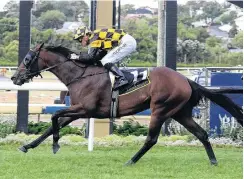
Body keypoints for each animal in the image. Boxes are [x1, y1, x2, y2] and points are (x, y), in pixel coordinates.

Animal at [10, 43, 242, 166]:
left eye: (28, 59)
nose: (14, 78)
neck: (80, 76)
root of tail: (186, 80)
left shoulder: (85, 109)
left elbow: (53, 117)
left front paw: (56, 145)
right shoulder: (77, 111)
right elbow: (52, 125)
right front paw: (27, 146)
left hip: (160, 109)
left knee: (151, 139)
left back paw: (131, 161)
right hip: (180, 113)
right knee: (202, 134)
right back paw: (213, 161)